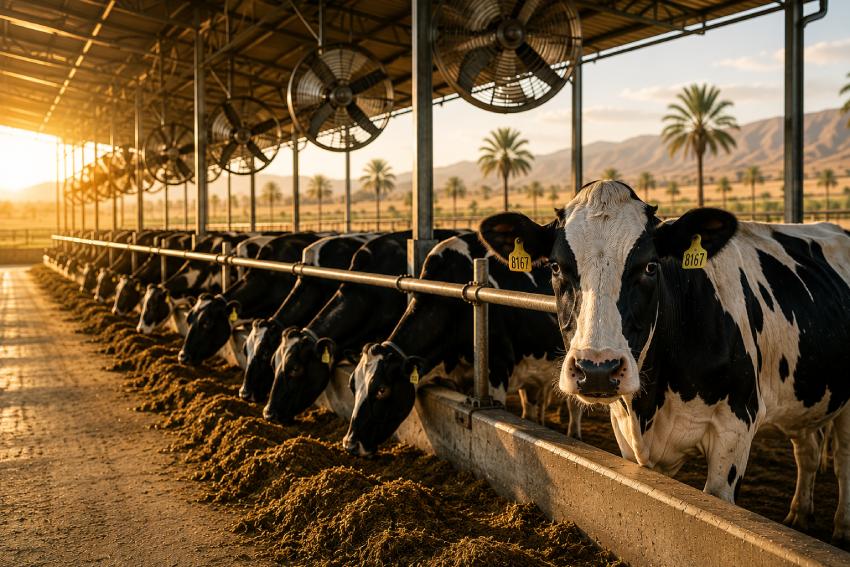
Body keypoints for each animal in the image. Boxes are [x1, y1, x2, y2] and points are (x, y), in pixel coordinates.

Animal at [342, 232, 583, 456]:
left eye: (381, 389)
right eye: (352, 385)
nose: (350, 444)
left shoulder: (498, 367)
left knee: (573, 405)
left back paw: (574, 434)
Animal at [477, 179, 850, 545]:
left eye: (650, 266)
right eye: (555, 267)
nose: (596, 371)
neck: (650, 404)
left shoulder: (736, 426)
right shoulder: (626, 433)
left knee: (842, 455)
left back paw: (841, 527)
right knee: (808, 449)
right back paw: (799, 516)